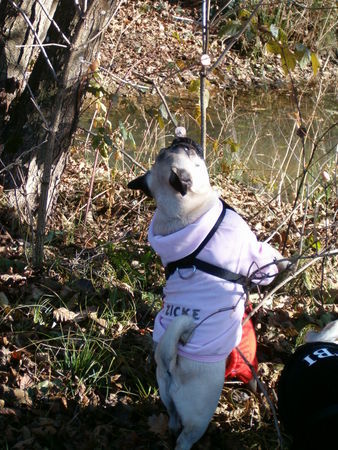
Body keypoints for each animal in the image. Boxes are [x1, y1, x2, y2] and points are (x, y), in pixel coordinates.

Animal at [128, 137, 286, 450]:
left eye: (178, 147)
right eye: (189, 152)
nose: (181, 139)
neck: (180, 216)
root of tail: (172, 363)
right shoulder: (251, 250)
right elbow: (265, 260)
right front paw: (284, 264)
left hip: (167, 394)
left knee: (173, 417)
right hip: (201, 411)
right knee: (185, 436)